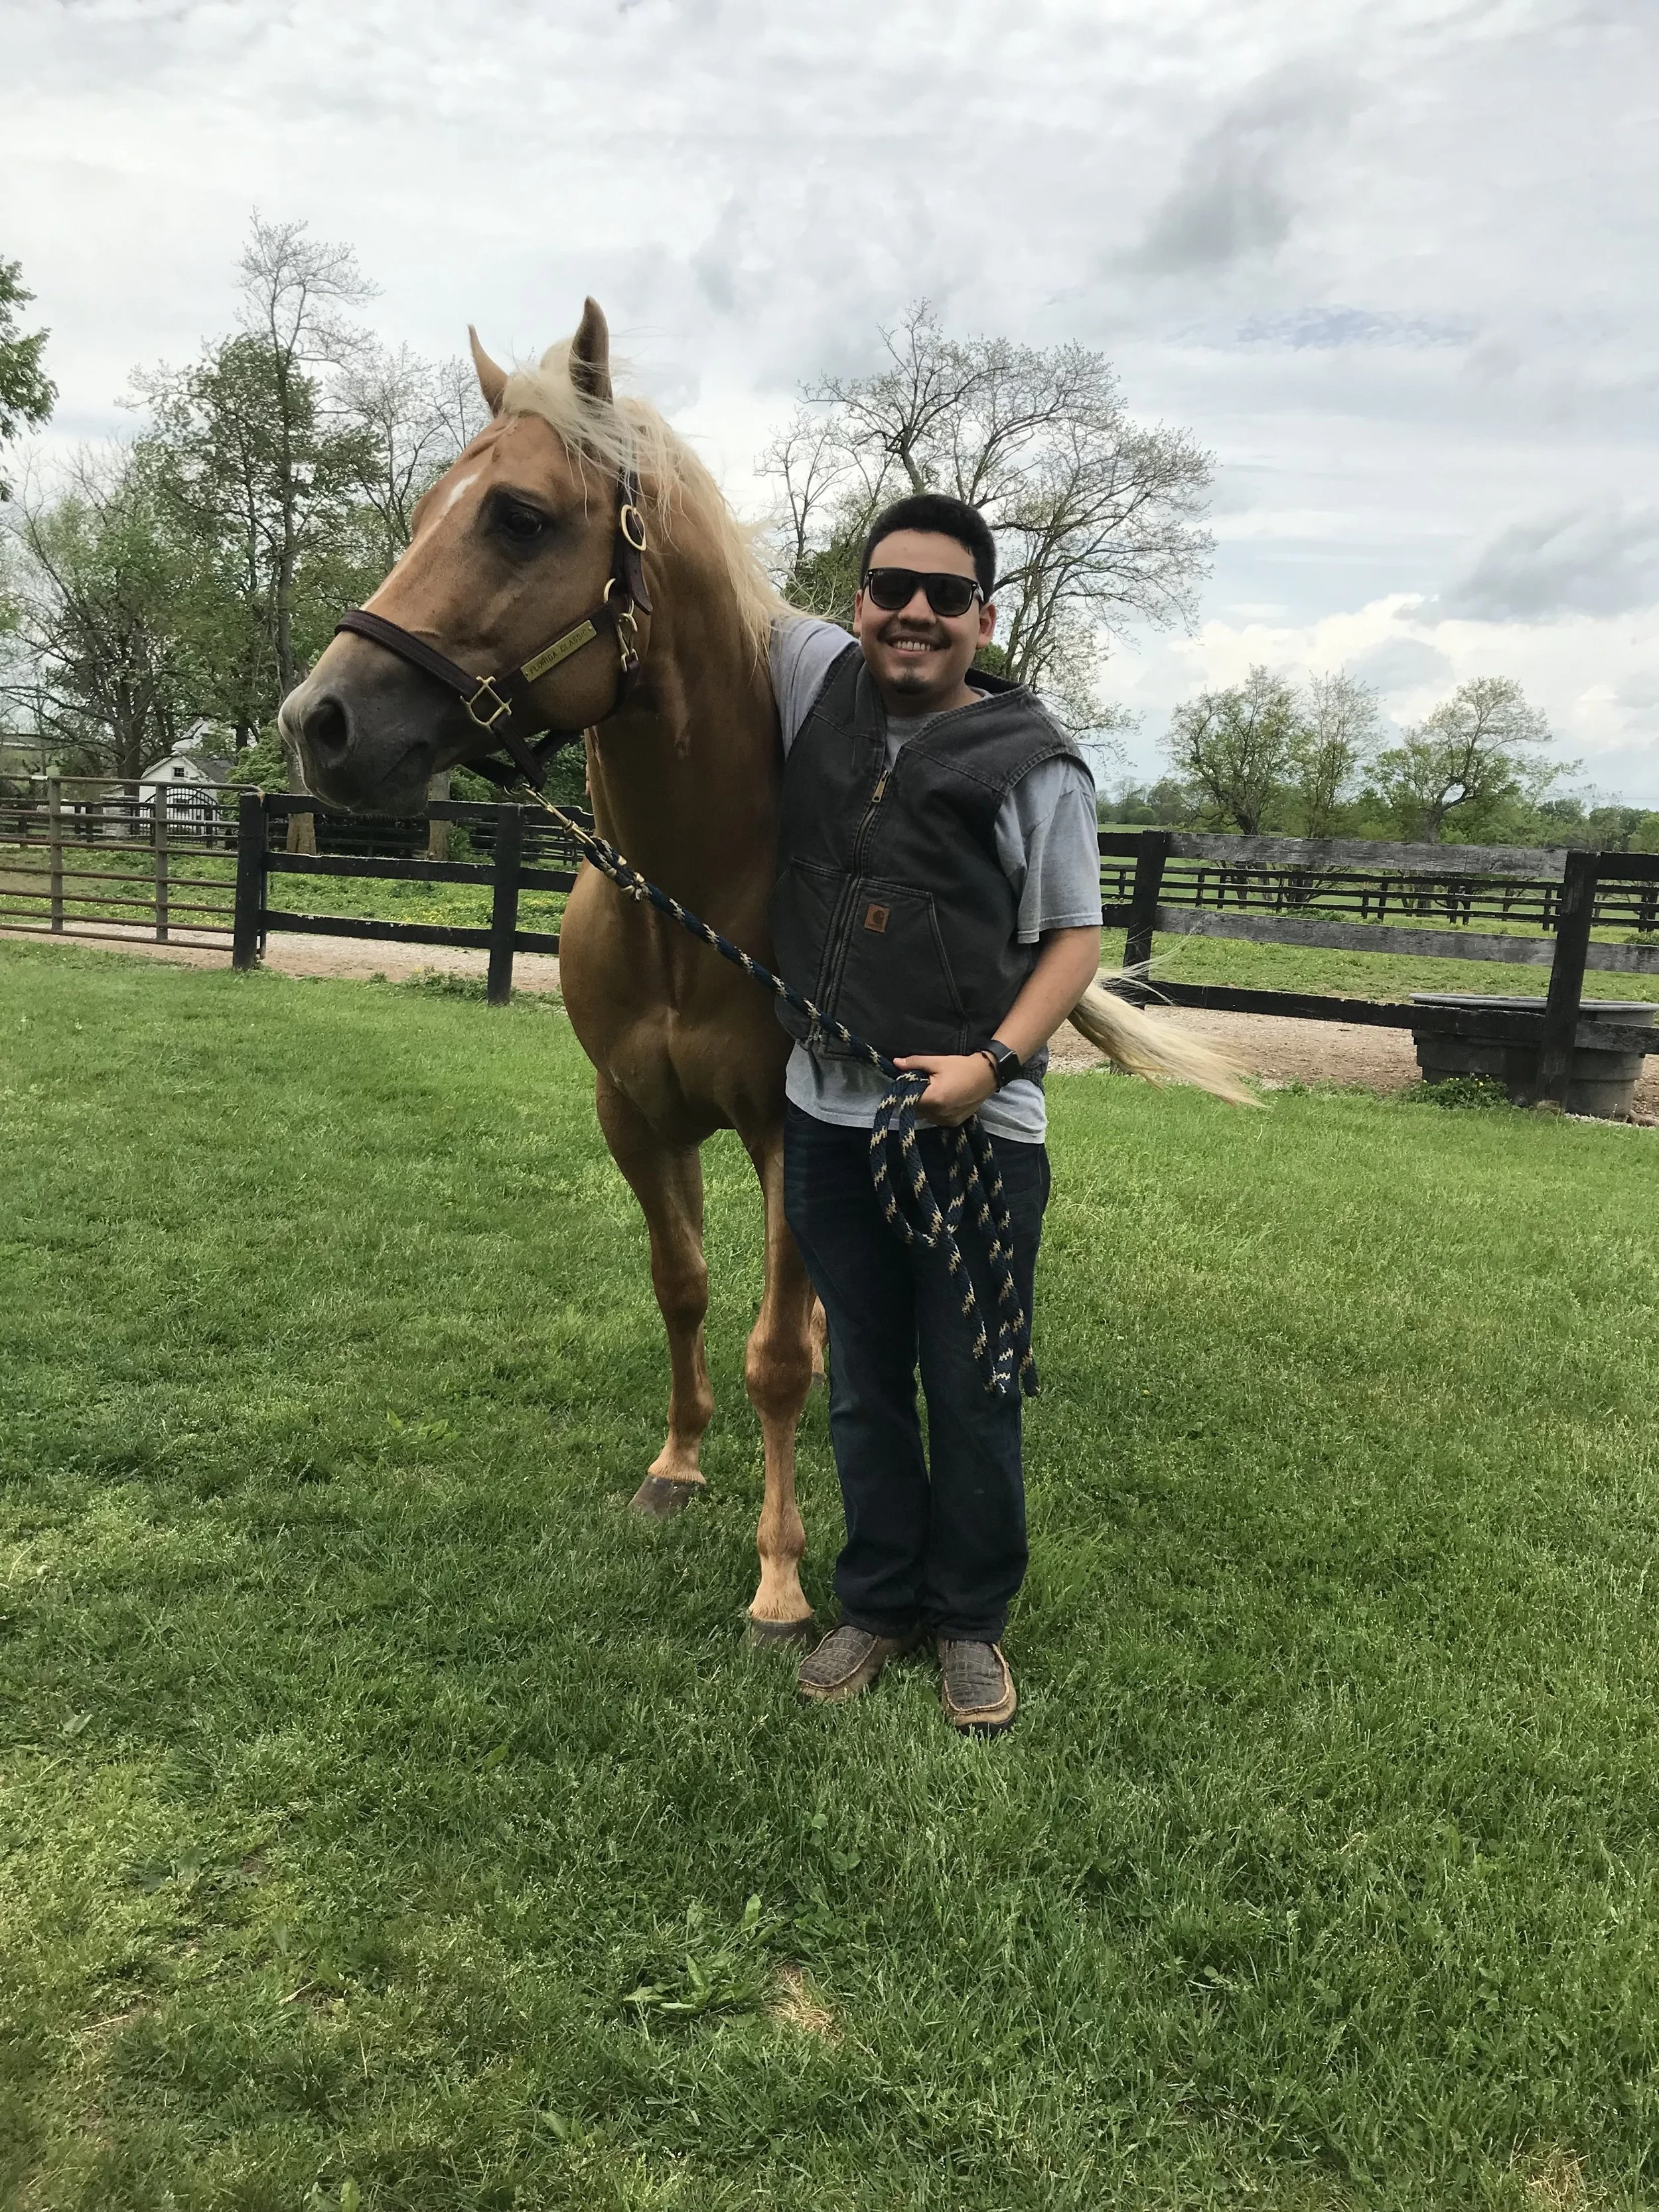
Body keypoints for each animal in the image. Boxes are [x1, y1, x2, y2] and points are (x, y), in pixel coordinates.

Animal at [279, 299, 1247, 1642]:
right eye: (427, 509)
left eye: (518, 515)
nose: (317, 722)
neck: (687, 907)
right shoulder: (634, 1116)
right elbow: (682, 1285)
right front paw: (676, 1466)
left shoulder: (796, 1133)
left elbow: (779, 1354)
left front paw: (782, 1576)